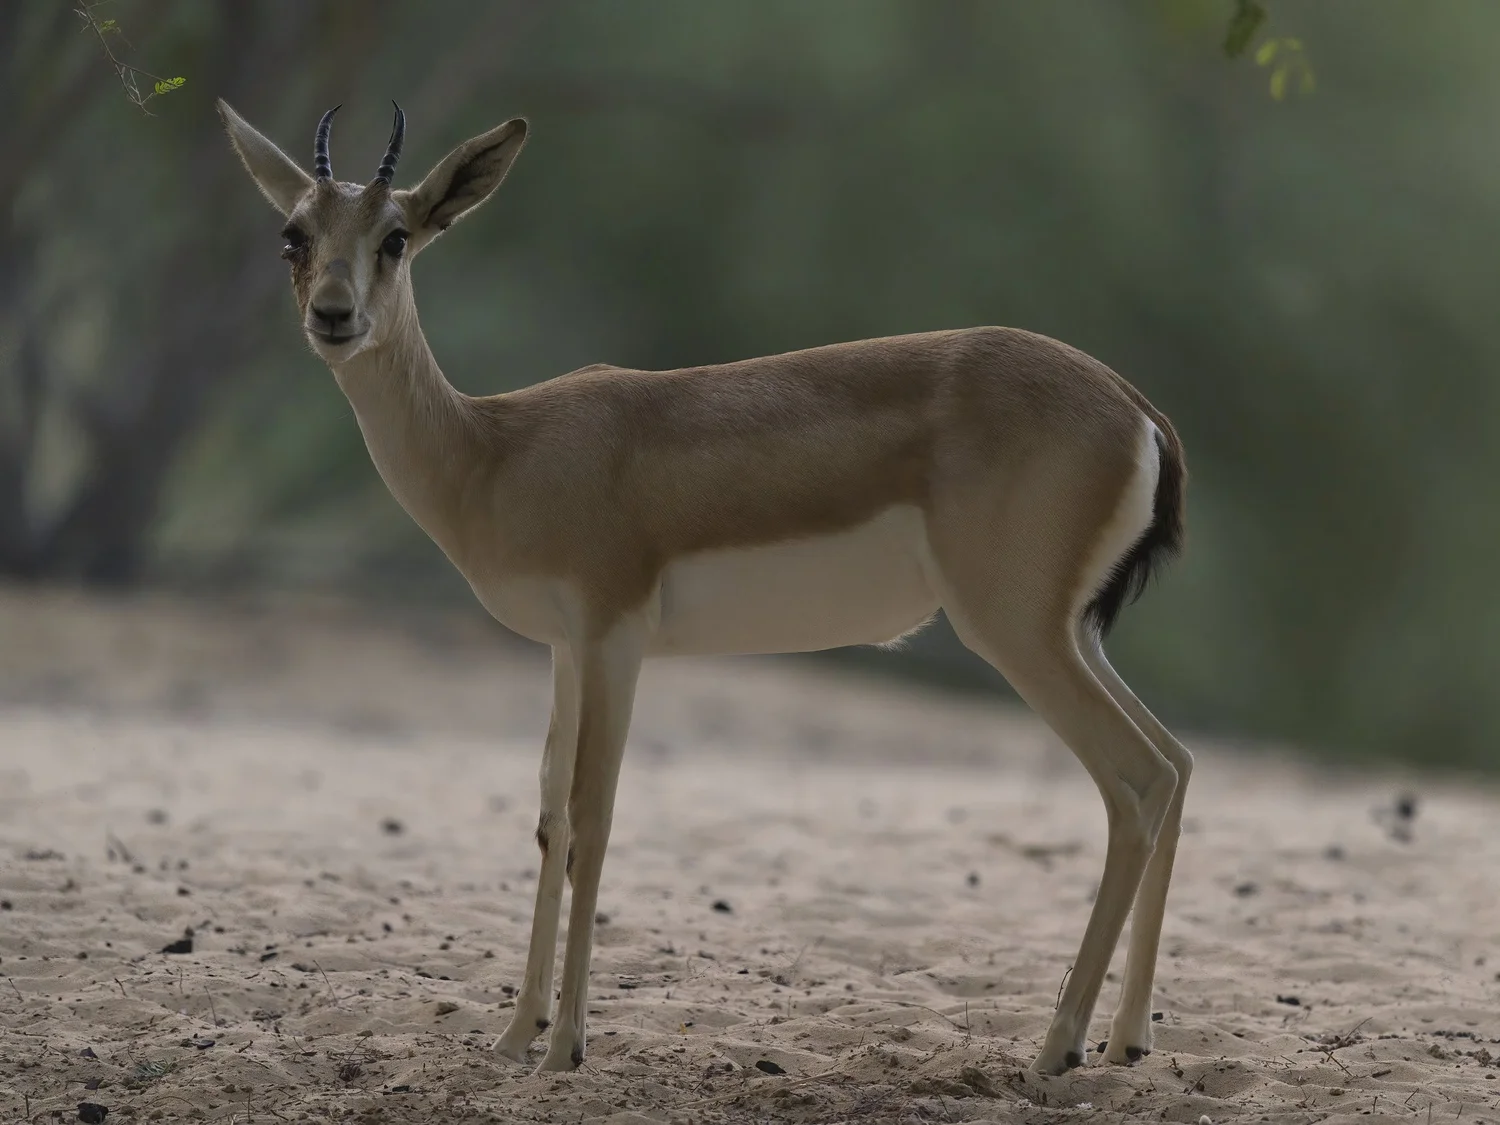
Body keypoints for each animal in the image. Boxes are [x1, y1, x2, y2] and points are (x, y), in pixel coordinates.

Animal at [217, 99, 1193, 1077]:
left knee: (1136, 781)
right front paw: (514, 1032)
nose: (334, 316)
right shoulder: (566, 647)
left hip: (1014, 632)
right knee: (1177, 761)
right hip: (1070, 632)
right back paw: (1127, 1039)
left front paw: (565, 1044)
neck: (496, 452)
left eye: (397, 236)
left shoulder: (615, 635)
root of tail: (1139, 409)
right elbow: (550, 815)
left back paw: (1058, 1047)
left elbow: (595, 812)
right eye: (294, 234)